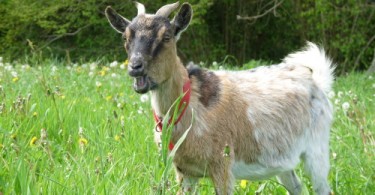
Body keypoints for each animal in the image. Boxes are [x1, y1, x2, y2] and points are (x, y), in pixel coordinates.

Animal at [105, 1, 334, 195]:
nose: (136, 67)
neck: (191, 104)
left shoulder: (222, 165)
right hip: (283, 160)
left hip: (317, 148)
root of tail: (314, 77)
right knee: (296, 187)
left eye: (167, 36)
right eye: (125, 38)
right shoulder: (185, 172)